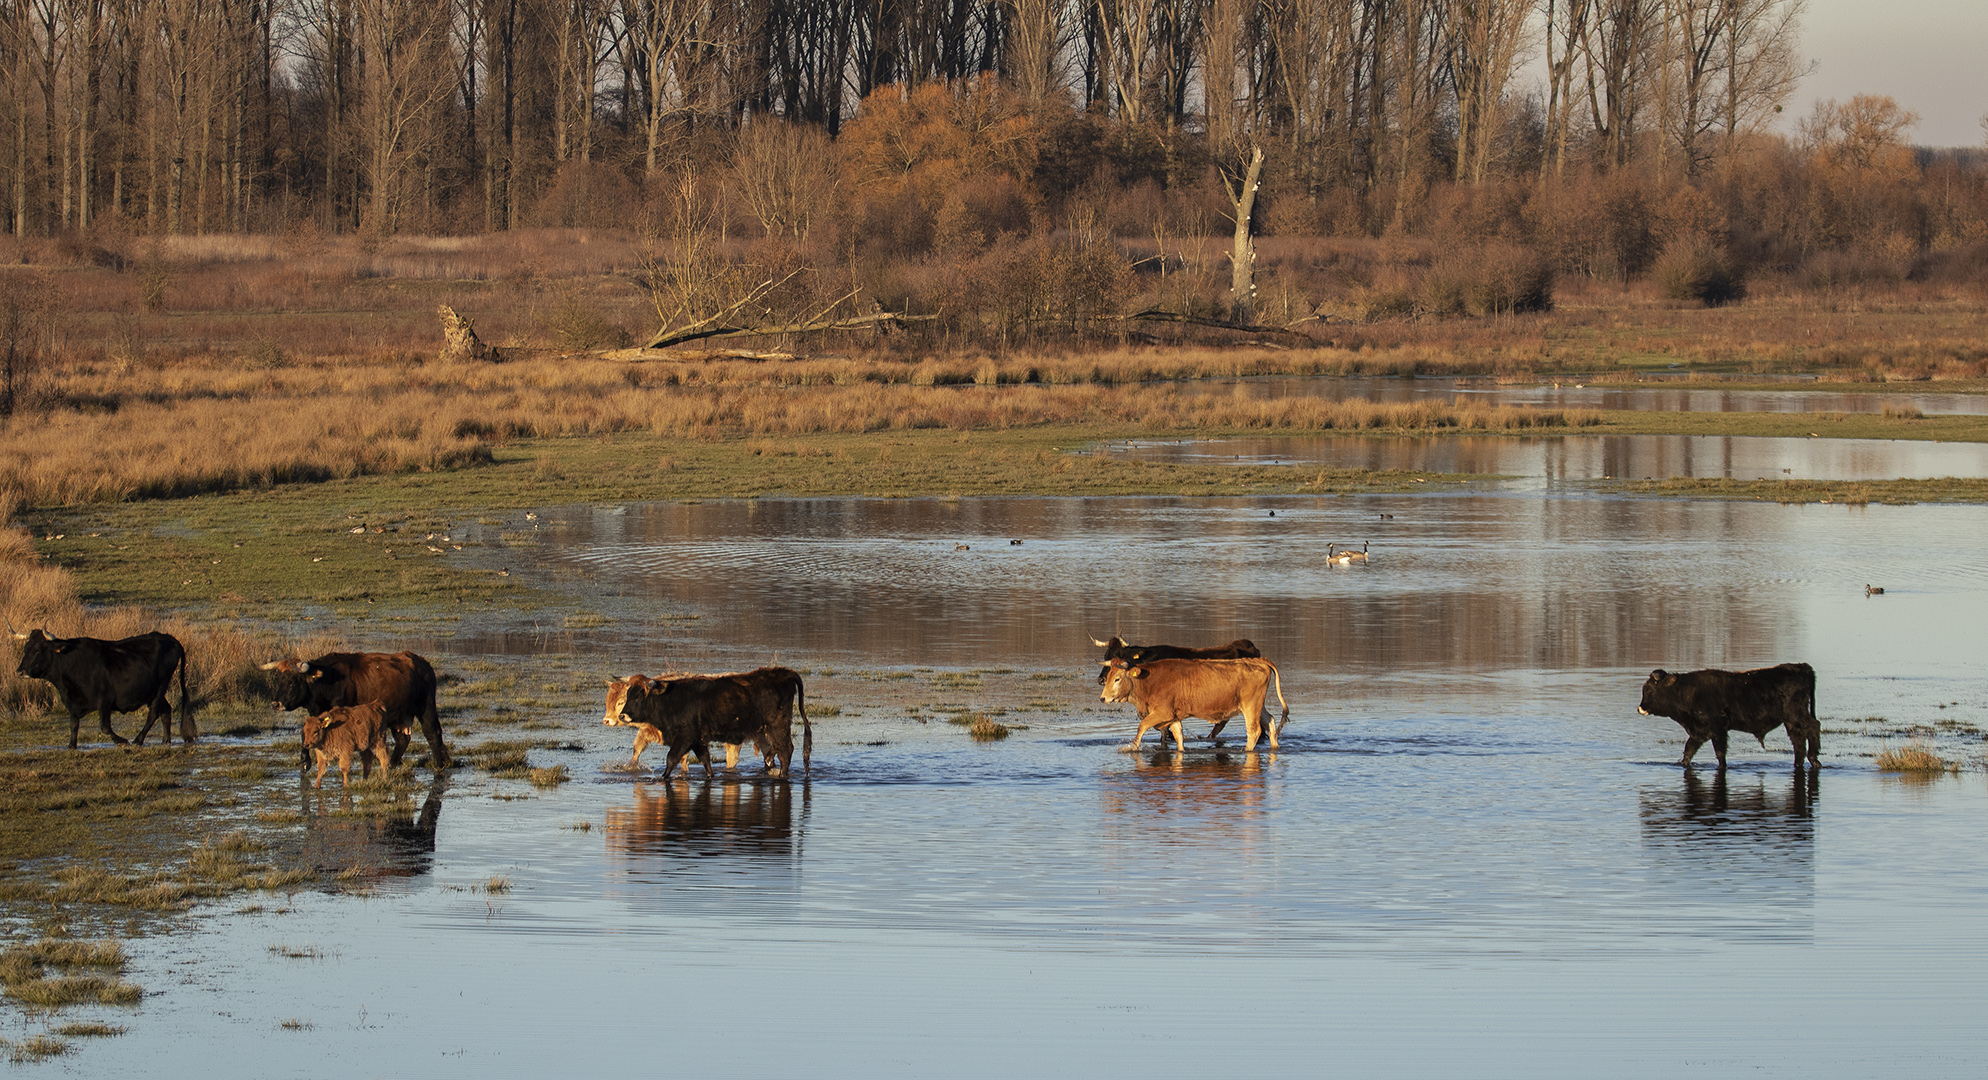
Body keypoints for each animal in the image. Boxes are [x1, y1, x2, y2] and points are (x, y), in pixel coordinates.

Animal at [1097, 656, 1296, 755]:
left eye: (1117, 678)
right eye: (1107, 677)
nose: (1103, 698)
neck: (1150, 681)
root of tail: (1258, 660)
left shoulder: (1162, 712)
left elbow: (1141, 726)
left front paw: (1133, 747)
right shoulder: (1173, 716)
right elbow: (1178, 736)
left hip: (1250, 706)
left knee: (1254, 731)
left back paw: (1247, 751)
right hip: (1258, 706)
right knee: (1270, 722)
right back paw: (1274, 747)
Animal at [1638, 664, 1821, 771]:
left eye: (1649, 689)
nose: (1641, 708)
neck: (1686, 692)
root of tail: (1802, 667)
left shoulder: (1717, 730)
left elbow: (1720, 753)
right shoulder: (1700, 733)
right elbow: (1689, 750)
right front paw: (1683, 764)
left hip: (1797, 714)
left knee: (1814, 726)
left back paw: (1814, 759)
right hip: (1791, 722)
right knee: (1798, 741)